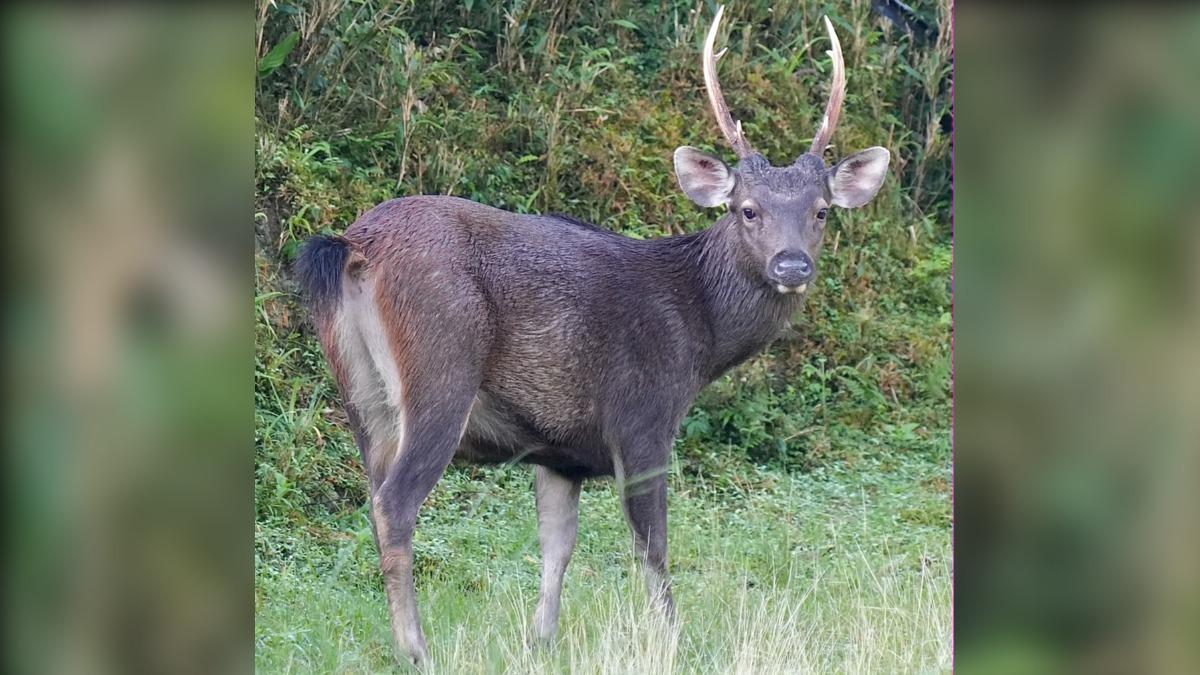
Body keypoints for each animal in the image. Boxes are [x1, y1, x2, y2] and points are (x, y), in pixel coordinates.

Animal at [294, 6, 889, 667]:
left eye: (821, 211)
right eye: (748, 209)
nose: (791, 265)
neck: (700, 333)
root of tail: (353, 246)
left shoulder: (561, 452)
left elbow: (558, 546)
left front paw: (541, 639)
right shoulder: (642, 418)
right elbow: (652, 546)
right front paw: (672, 640)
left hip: (361, 396)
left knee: (373, 497)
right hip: (439, 371)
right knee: (396, 504)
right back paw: (416, 650)